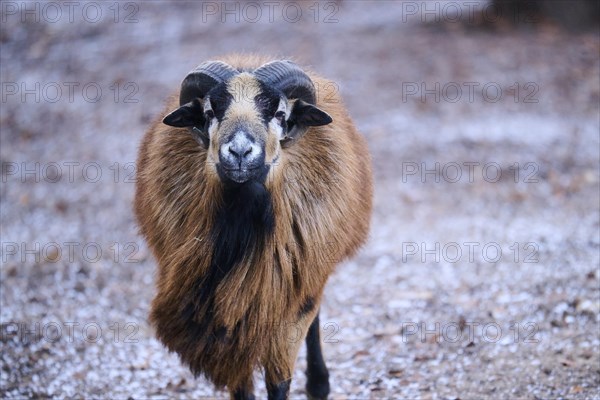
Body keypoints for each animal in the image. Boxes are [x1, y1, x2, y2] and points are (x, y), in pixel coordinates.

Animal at [134, 54, 372, 400]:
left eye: (279, 114)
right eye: (210, 112)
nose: (240, 152)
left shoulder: (288, 302)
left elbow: (279, 382)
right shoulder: (226, 325)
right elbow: (241, 387)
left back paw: (318, 384)